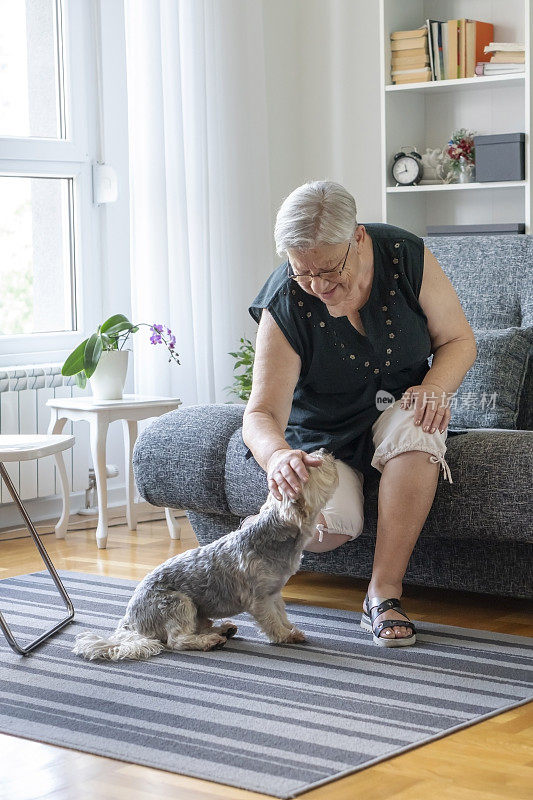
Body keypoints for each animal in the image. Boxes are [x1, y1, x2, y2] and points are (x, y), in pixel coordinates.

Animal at [72, 446, 336, 660]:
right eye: (308, 465)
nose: (325, 450)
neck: (272, 538)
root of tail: (131, 622)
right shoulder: (260, 598)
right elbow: (272, 621)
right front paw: (284, 635)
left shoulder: (274, 592)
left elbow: (281, 614)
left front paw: (290, 629)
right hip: (177, 603)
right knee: (177, 640)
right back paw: (209, 640)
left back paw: (222, 630)